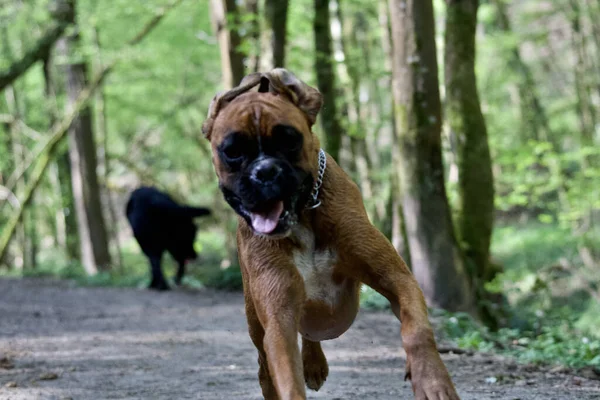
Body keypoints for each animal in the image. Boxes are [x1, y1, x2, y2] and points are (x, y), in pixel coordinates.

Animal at [202, 69, 460, 400]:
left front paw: (431, 380)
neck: (303, 215)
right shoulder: (279, 319)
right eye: (232, 151)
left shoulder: (397, 279)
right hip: (256, 324)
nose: (265, 171)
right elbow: (287, 376)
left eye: (290, 140)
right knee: (266, 366)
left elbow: (416, 328)